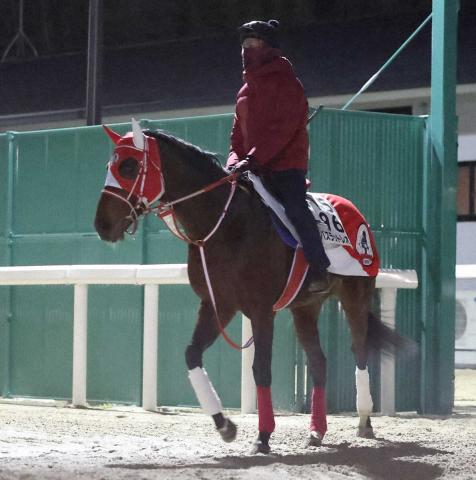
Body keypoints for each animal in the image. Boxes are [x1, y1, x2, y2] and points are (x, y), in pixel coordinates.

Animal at [95, 119, 408, 454]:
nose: (102, 224)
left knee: (360, 352)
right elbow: (192, 354)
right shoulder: (217, 305)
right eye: (110, 165)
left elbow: (261, 369)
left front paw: (264, 435)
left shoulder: (261, 311)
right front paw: (225, 425)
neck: (226, 223)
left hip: (355, 297)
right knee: (318, 361)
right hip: (305, 309)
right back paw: (316, 430)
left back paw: (364, 420)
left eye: (129, 166)